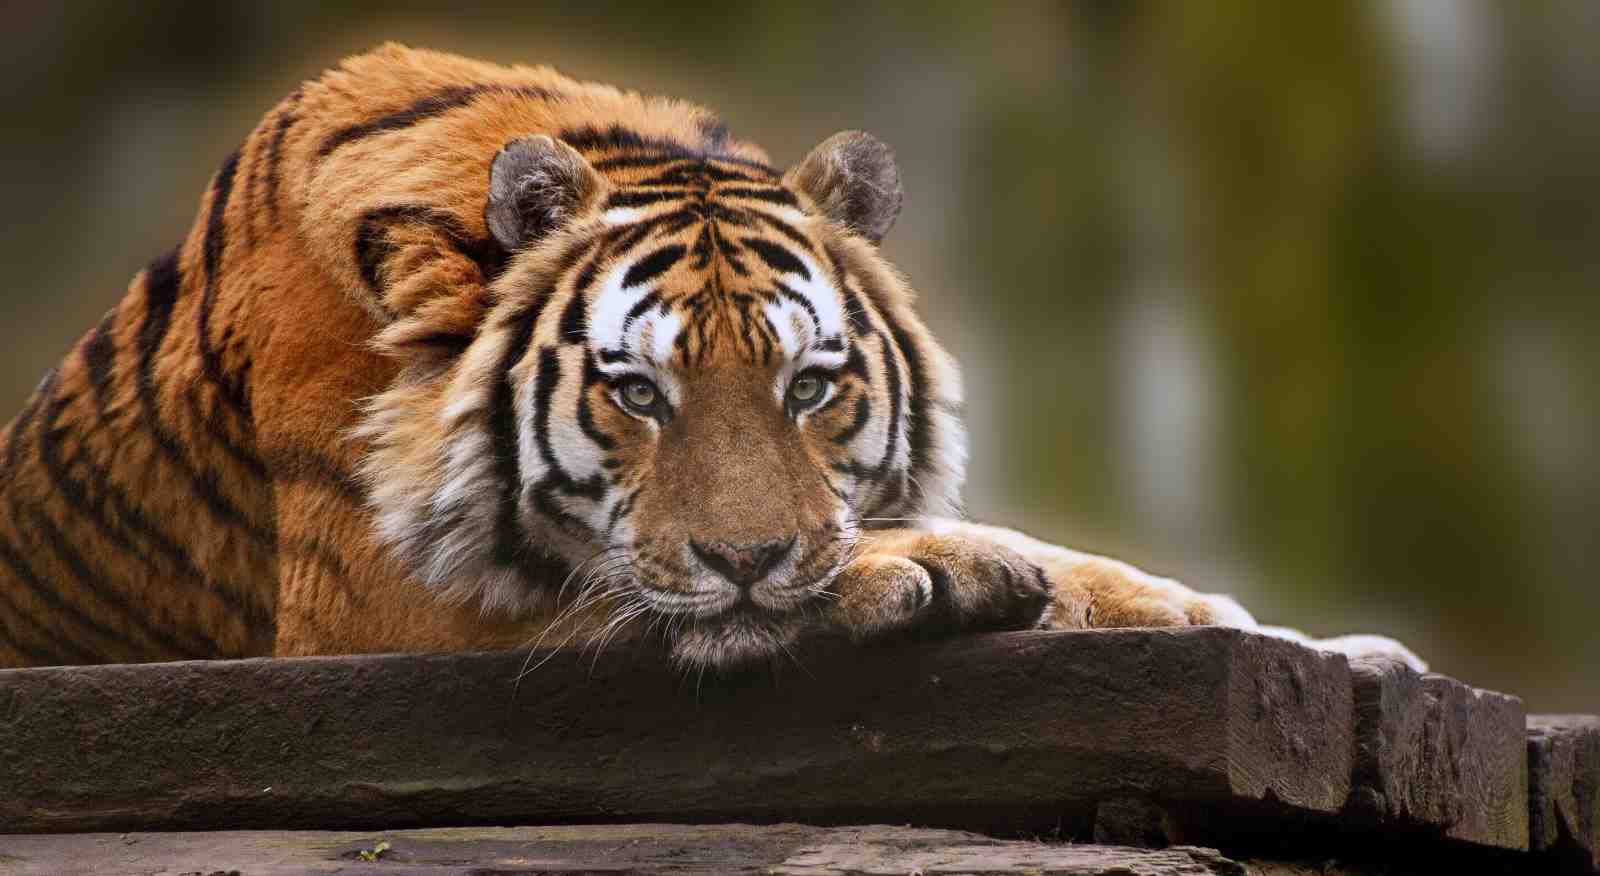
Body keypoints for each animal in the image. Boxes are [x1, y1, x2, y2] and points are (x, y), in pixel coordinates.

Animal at [0, 44, 1424, 673]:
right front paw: (934, 571)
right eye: (636, 394)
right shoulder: (373, 609)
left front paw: (1317, 644)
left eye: (811, 385)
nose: (750, 559)